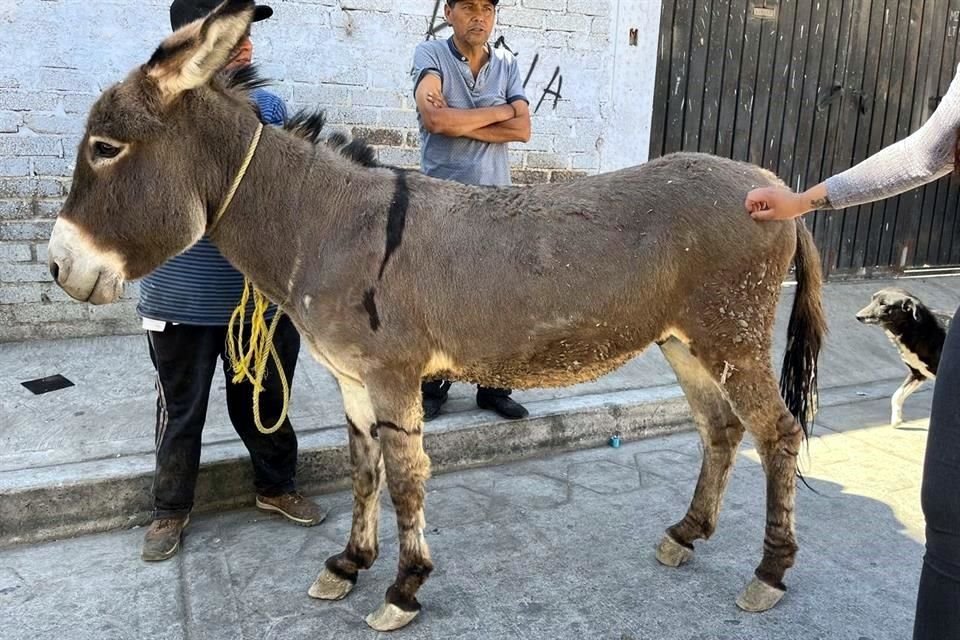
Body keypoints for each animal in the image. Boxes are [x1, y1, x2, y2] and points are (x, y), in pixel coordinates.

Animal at [860, 288, 948, 424]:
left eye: (884, 304)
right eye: (872, 299)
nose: (858, 316)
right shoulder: (918, 373)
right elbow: (897, 395)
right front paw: (896, 419)